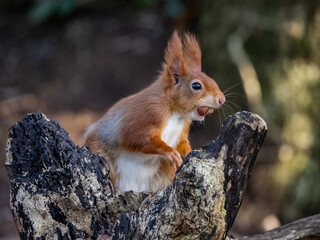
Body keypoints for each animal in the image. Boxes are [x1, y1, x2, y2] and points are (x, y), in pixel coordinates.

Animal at [84, 31, 226, 193]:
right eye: (196, 86)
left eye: (212, 80)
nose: (222, 100)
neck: (176, 113)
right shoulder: (148, 113)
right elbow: (137, 136)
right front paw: (170, 152)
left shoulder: (183, 128)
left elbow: (182, 142)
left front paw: (188, 151)